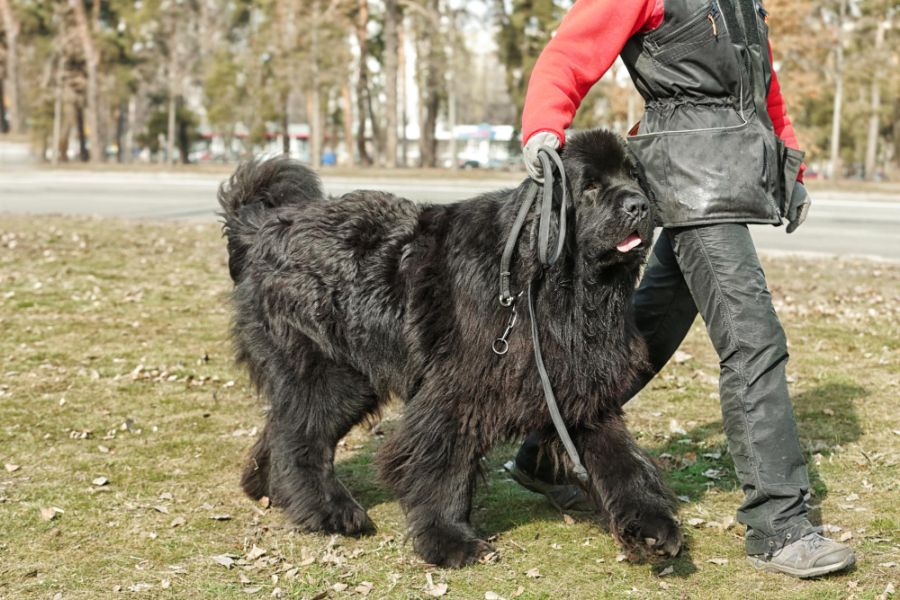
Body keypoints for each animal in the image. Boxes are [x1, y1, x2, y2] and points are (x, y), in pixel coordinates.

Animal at [218, 130, 684, 568]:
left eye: (634, 177)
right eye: (589, 186)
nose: (639, 206)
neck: (556, 289)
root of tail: (263, 226)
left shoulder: (581, 387)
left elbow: (620, 462)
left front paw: (651, 527)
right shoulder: (458, 391)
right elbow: (442, 463)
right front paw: (450, 540)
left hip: (350, 378)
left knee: (284, 426)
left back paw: (269, 490)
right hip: (327, 370)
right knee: (302, 437)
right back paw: (329, 512)